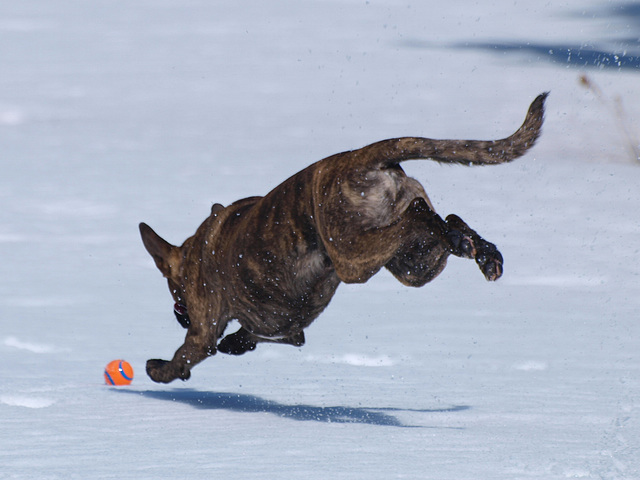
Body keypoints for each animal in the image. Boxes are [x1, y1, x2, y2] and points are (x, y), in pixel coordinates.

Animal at [139, 93, 544, 382]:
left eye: (174, 289)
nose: (178, 314)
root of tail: (364, 157)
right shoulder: (284, 326)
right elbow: (263, 334)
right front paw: (237, 344)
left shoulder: (204, 328)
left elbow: (186, 354)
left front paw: (158, 369)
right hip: (412, 265)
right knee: (445, 221)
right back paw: (481, 251)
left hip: (354, 256)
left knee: (418, 215)